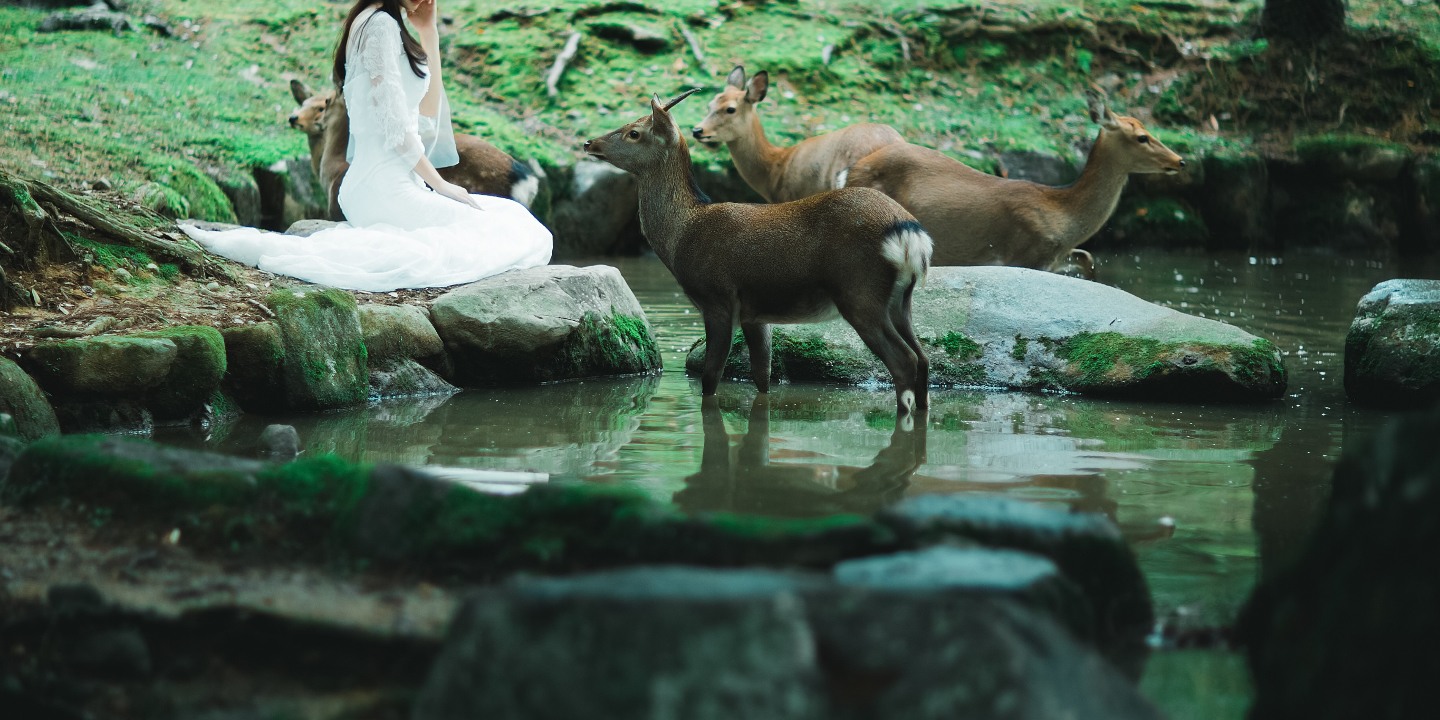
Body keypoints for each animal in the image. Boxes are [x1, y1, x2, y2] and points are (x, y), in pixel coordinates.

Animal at [585, 89, 934, 417]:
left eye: (634, 132)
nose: (589, 142)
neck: (681, 235)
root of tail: (909, 233)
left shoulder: (717, 298)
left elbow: (710, 378)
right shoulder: (756, 313)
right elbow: (762, 375)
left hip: (859, 292)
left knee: (904, 360)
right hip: (900, 300)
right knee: (923, 358)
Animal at [843, 87, 1186, 275]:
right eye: (1142, 137)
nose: (1179, 161)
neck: (1063, 215)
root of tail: (851, 171)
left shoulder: (1053, 259)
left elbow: (1088, 259)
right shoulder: (1025, 253)